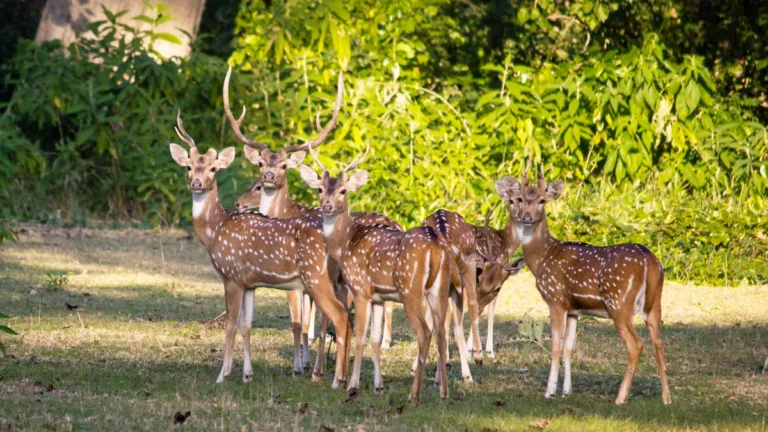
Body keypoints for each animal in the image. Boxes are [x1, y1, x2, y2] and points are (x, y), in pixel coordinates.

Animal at [168, 111, 351, 388]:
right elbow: (246, 326)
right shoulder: (249, 283)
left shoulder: (232, 276)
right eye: (188, 167)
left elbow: (230, 325)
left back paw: (335, 379)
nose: (197, 183)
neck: (215, 230)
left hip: (315, 276)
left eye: (213, 168)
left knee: (339, 317)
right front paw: (247, 374)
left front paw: (222, 375)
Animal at [223, 66, 398, 355]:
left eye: (284, 165)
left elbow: (302, 320)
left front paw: (304, 356)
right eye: (260, 164)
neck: (287, 212)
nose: (269, 176)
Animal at [299, 141, 468, 404]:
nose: (327, 206)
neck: (345, 243)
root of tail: (436, 245)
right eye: (319, 189)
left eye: (343, 191)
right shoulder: (379, 297)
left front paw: (351, 385)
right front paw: (378, 387)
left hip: (410, 289)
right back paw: (443, 392)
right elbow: (375, 338)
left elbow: (360, 335)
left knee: (425, 332)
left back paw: (414, 394)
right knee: (441, 330)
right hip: (438, 289)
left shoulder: (360, 289)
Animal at [496, 166, 671, 405]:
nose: (527, 217)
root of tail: (649, 262)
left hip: (619, 302)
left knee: (636, 344)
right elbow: (569, 347)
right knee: (659, 343)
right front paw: (567, 391)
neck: (541, 259)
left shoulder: (556, 300)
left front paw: (550, 391)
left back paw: (621, 397)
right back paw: (666, 398)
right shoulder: (574, 309)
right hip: (654, 304)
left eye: (542, 200)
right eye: (520, 199)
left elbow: (556, 345)